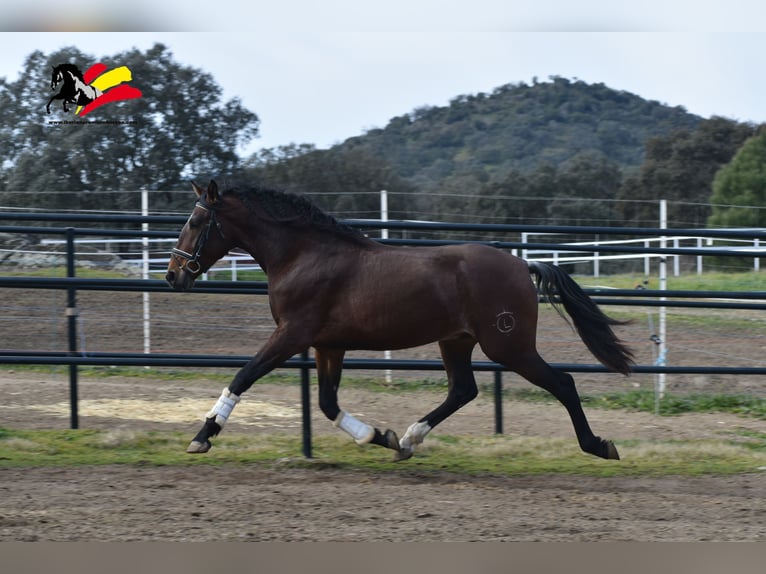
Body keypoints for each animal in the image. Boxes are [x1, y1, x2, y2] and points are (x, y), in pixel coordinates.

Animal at [168, 182, 636, 462]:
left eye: (195, 221)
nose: (174, 275)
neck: (304, 255)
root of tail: (523, 264)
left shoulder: (292, 334)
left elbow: (242, 377)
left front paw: (202, 436)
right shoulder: (327, 345)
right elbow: (327, 403)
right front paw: (380, 436)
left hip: (509, 346)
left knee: (563, 383)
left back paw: (599, 446)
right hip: (457, 341)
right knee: (463, 390)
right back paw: (408, 440)